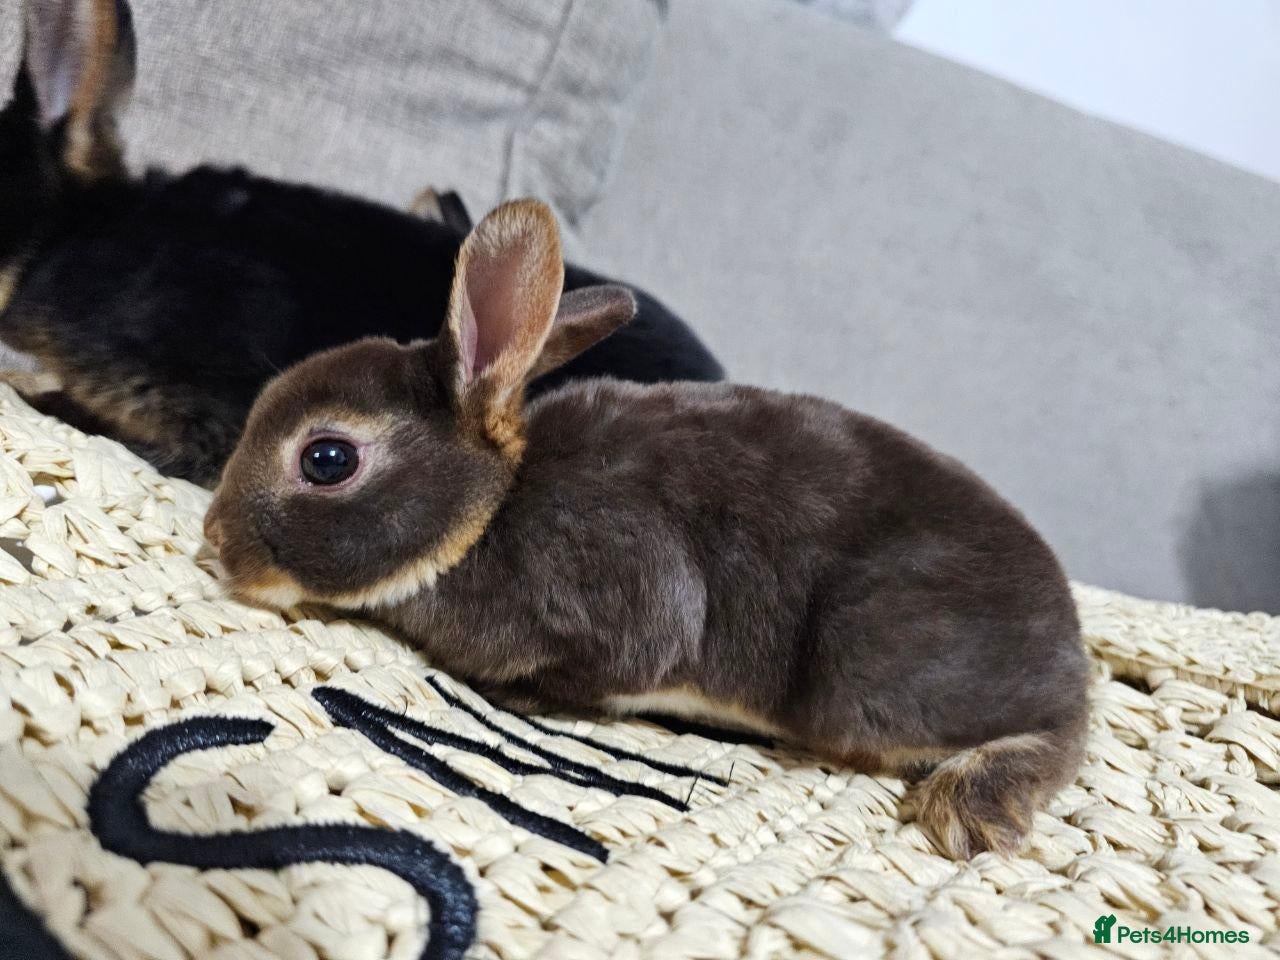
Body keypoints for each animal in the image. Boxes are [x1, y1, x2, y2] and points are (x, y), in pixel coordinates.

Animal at [204, 198, 1090, 860]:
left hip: (867, 669)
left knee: (1057, 734)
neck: (488, 513)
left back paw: (967, 805)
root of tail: (1070, 651)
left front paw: (515, 694)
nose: (214, 542)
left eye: (326, 458)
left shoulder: (629, 597)